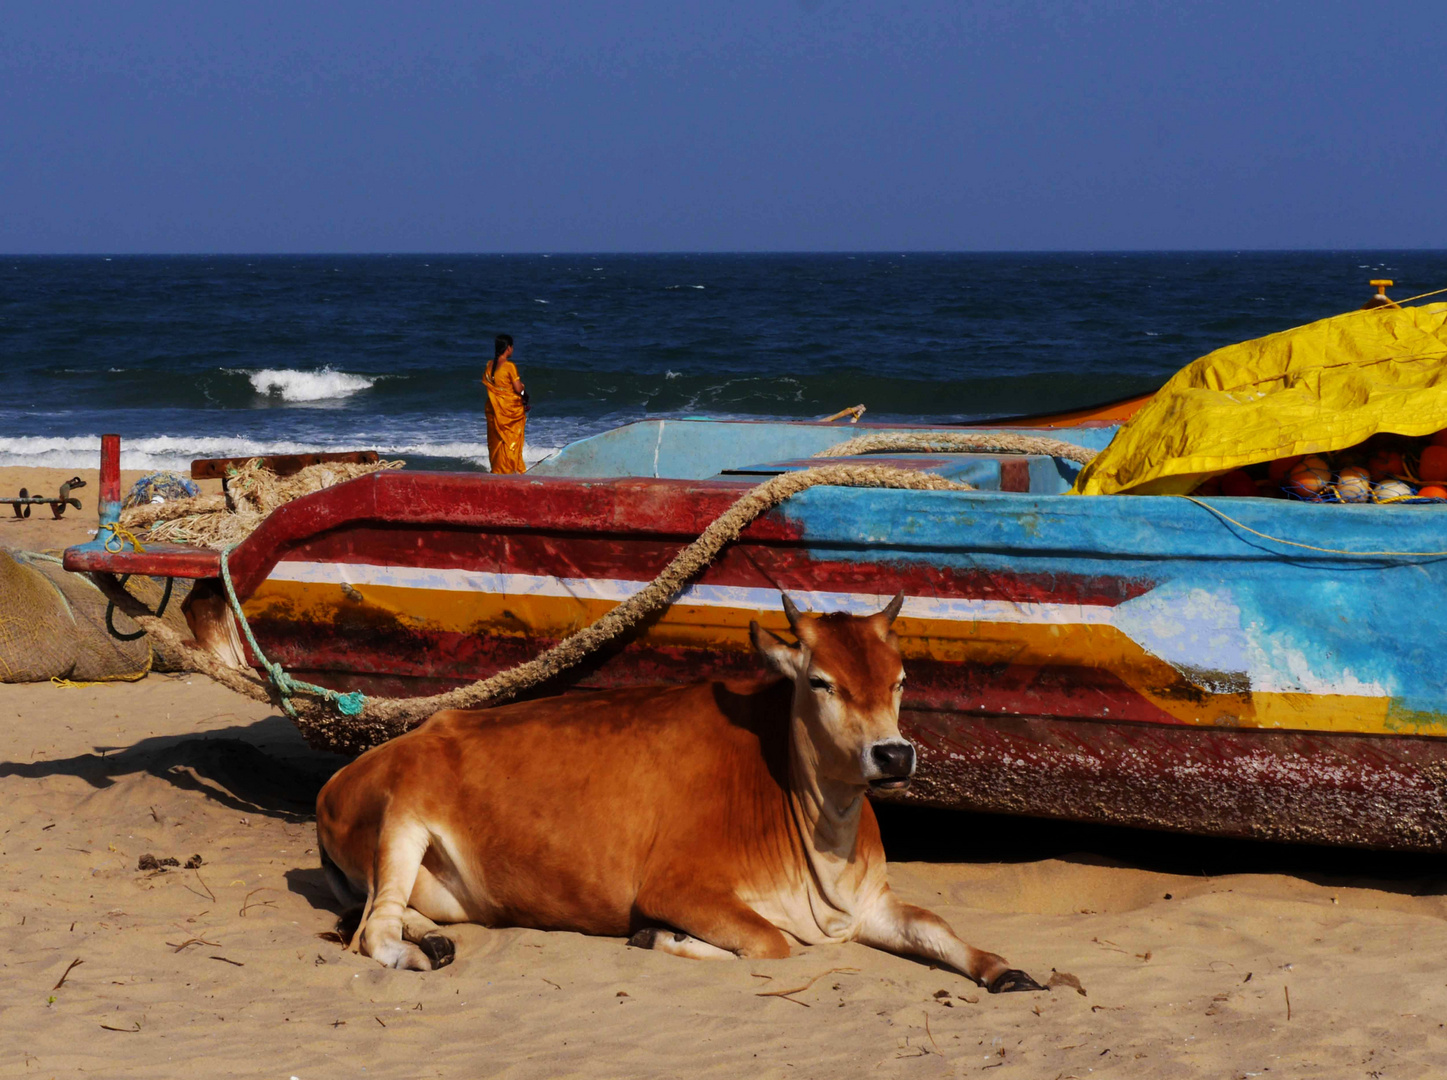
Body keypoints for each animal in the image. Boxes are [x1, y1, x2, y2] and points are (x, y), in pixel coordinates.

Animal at [313, 593, 1041, 990]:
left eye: (900, 680)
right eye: (820, 682)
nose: (892, 753)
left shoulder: (869, 903)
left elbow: (936, 928)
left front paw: (1002, 968)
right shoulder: (677, 887)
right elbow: (772, 943)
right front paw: (657, 939)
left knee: (387, 912)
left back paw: (431, 936)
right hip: (401, 819)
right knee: (374, 931)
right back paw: (417, 952)